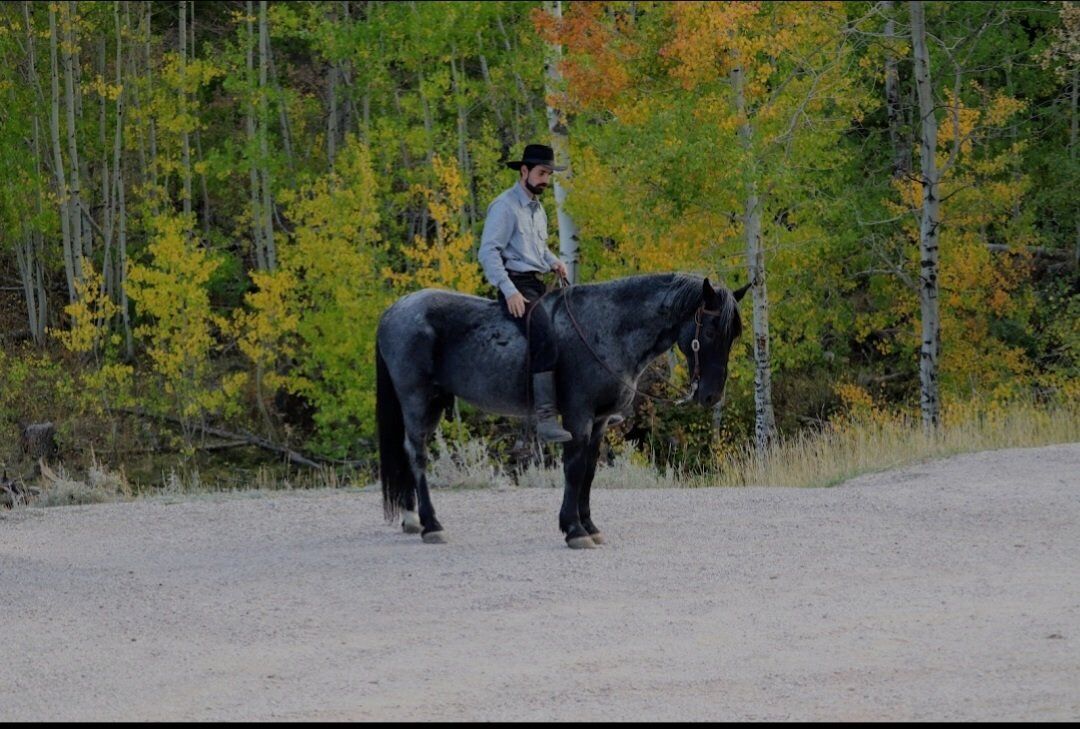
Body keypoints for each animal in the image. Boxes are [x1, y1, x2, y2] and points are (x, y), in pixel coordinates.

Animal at [375, 272, 748, 549]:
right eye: (710, 330)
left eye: (732, 336)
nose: (711, 395)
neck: (607, 328)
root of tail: (394, 310)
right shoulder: (578, 417)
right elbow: (573, 468)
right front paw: (574, 530)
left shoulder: (599, 422)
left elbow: (589, 471)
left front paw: (589, 524)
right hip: (416, 398)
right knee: (417, 454)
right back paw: (431, 524)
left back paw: (412, 519)